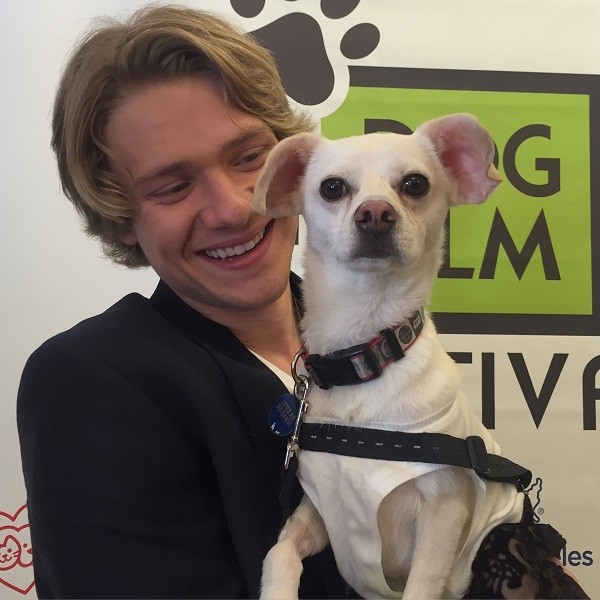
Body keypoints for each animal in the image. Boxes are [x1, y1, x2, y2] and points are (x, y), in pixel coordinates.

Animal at [253, 115, 528, 596]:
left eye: (415, 183)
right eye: (331, 188)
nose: (376, 213)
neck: (366, 353)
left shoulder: (443, 510)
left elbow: (422, 585)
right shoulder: (320, 512)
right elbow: (279, 552)